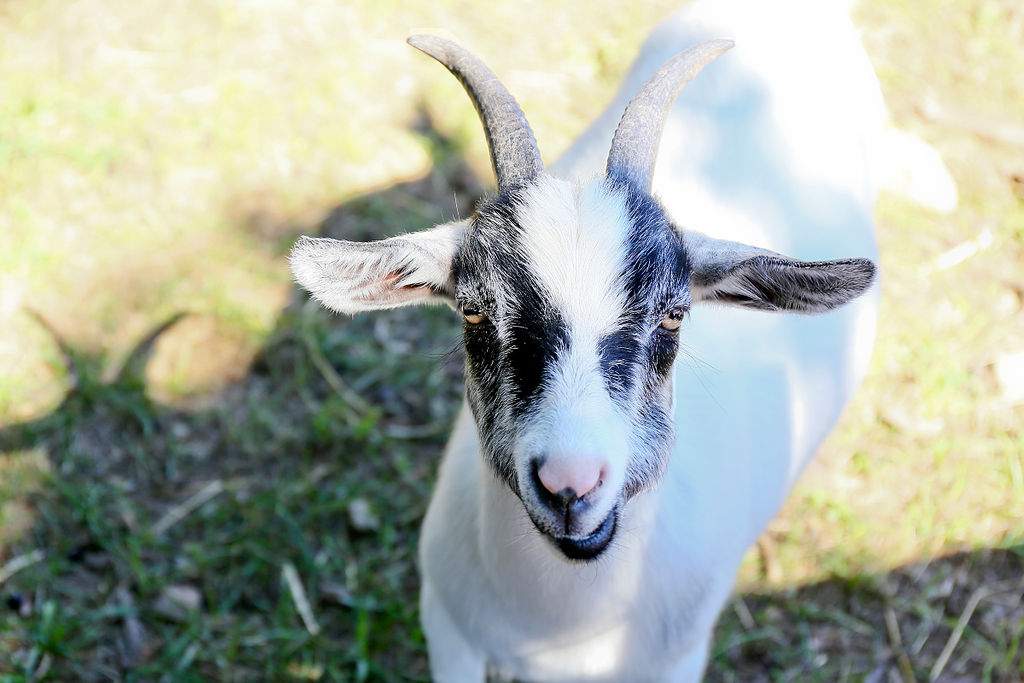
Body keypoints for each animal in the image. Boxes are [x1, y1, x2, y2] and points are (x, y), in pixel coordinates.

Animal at [290, 1, 953, 679]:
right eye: (473, 313)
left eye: (674, 317)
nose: (570, 483)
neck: (562, 629)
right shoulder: (449, 630)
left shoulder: (678, 656)